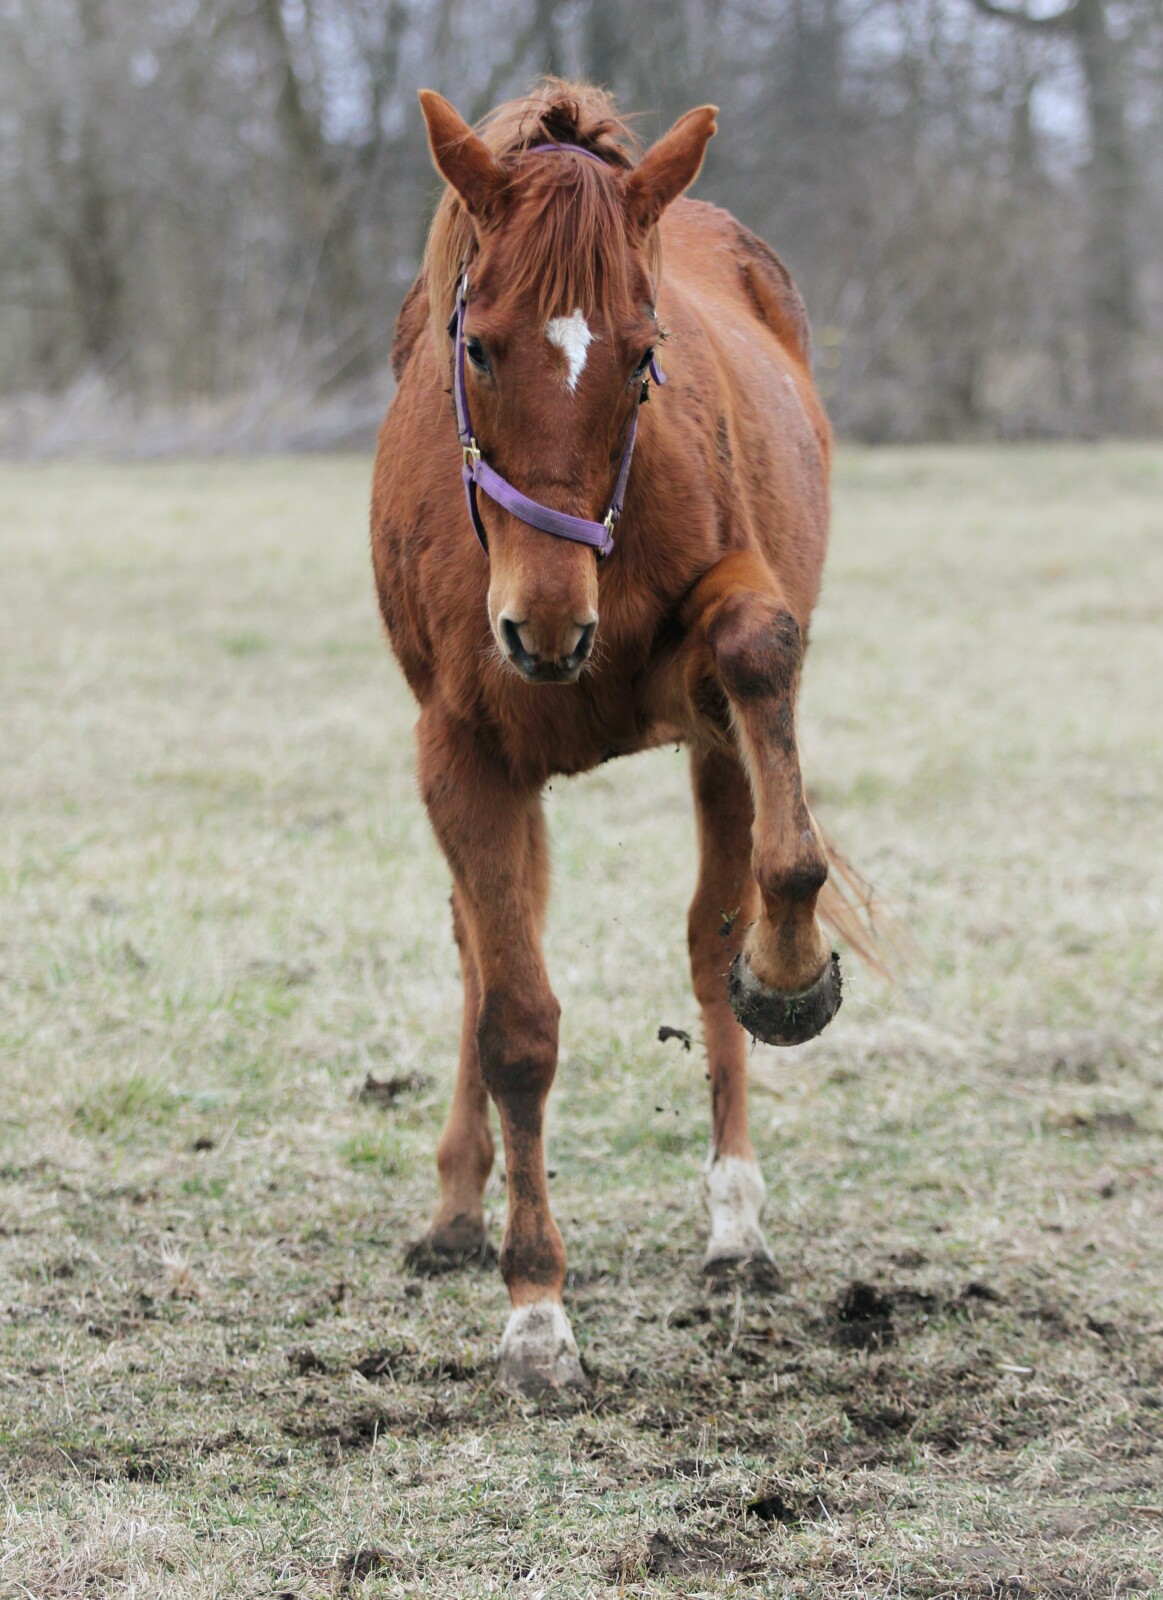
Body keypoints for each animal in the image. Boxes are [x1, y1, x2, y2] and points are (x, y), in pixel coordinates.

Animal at [375, 81, 857, 1395]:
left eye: (645, 356)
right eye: (477, 345)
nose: (542, 623)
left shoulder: (706, 677)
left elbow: (757, 649)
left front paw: (789, 971)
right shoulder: (463, 757)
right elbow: (513, 1022)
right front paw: (536, 1310)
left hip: (710, 754)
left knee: (707, 937)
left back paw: (735, 1217)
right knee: (479, 957)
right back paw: (456, 1210)